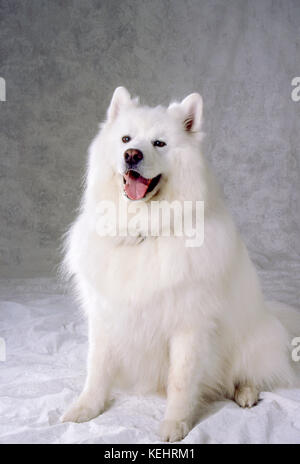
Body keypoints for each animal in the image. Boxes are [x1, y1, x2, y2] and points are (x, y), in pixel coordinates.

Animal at [61, 86, 300, 442]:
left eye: (159, 143)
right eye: (125, 138)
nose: (132, 154)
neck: (144, 231)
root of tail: (272, 315)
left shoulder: (188, 326)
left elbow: (181, 380)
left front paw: (176, 425)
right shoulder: (105, 315)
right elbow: (97, 368)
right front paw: (86, 408)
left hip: (252, 342)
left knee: (253, 373)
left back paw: (246, 393)